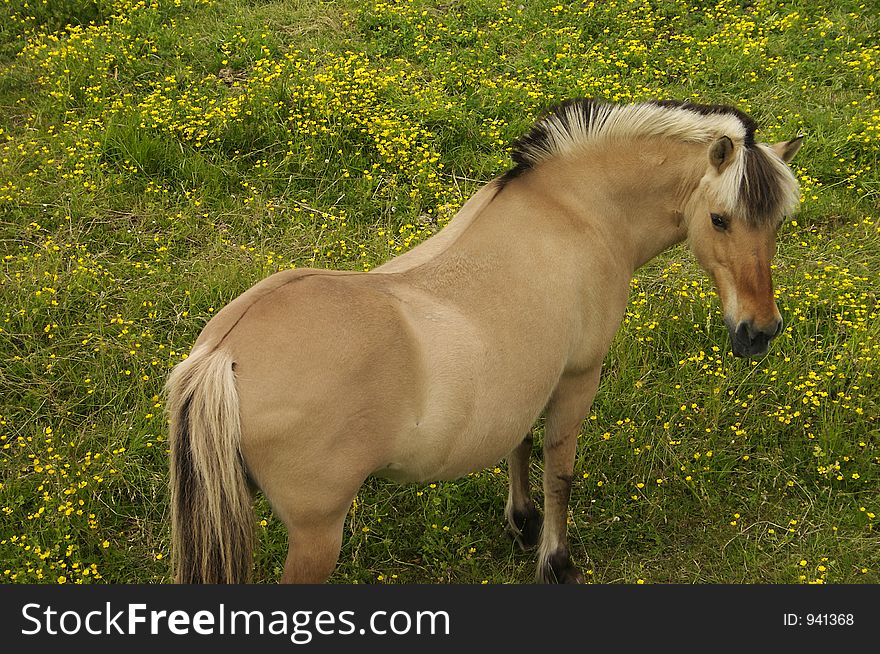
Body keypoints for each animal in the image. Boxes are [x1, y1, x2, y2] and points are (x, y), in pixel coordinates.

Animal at [165, 97, 804, 584]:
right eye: (720, 219)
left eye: (778, 221)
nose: (759, 331)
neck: (571, 210)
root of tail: (223, 355)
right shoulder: (577, 377)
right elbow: (559, 471)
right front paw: (554, 560)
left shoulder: (527, 379)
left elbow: (520, 445)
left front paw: (522, 522)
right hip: (317, 535)